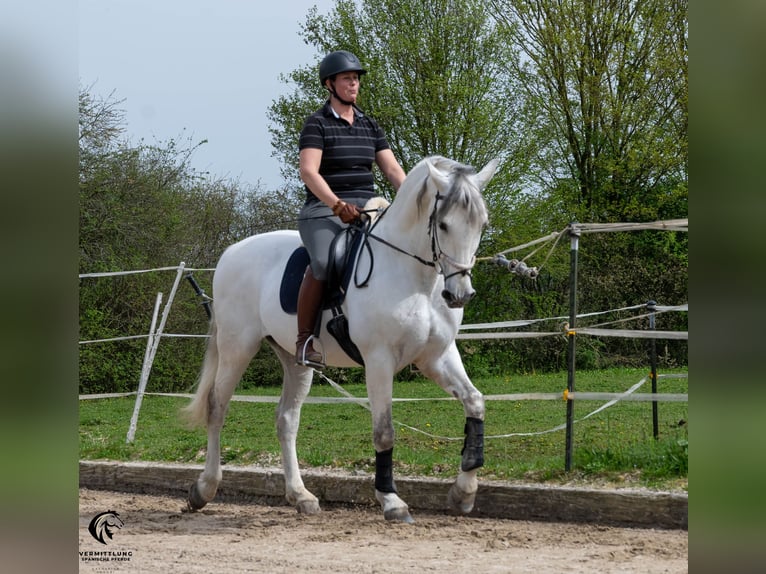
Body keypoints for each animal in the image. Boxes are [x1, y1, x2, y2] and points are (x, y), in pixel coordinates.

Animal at [183, 155, 500, 524]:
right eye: (444, 225)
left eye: (482, 224)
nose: (459, 294)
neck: (414, 278)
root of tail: (232, 251)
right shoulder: (379, 360)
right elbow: (384, 430)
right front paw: (392, 501)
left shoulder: (437, 357)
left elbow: (475, 402)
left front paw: (464, 492)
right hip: (238, 347)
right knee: (217, 407)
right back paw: (203, 490)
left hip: (295, 358)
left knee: (286, 420)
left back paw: (301, 496)